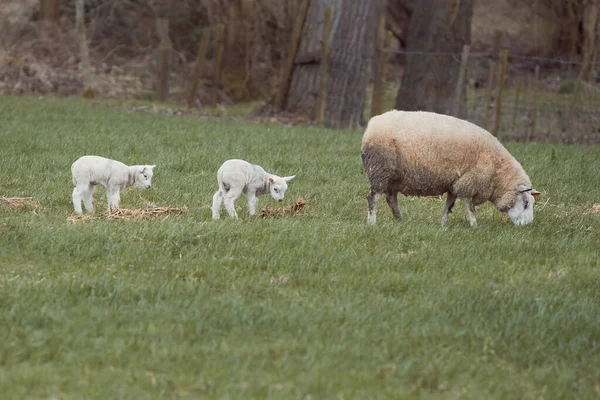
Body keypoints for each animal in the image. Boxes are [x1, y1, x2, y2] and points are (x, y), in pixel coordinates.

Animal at [360, 111, 544, 227]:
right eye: (526, 203)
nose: (527, 226)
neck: (498, 173)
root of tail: (371, 126)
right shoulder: (469, 182)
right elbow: (469, 206)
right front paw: (474, 225)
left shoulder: (454, 183)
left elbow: (449, 205)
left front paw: (442, 224)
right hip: (380, 168)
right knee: (373, 198)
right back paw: (372, 223)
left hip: (394, 176)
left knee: (391, 199)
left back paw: (399, 220)